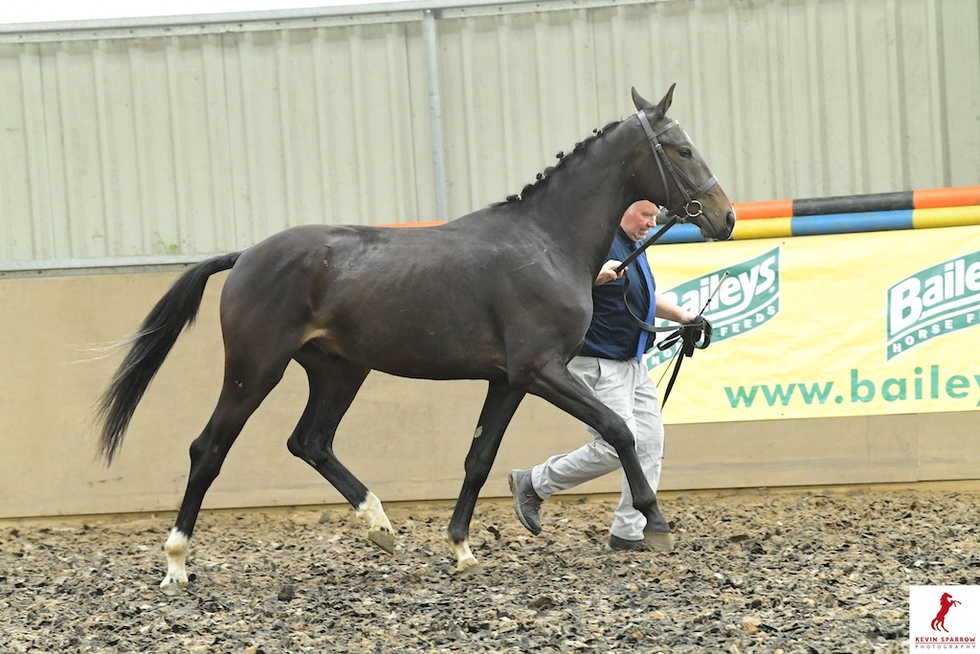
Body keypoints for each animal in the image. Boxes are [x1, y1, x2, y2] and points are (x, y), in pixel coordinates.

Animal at [96, 84, 735, 589]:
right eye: (682, 149)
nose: (724, 217)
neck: (546, 241)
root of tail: (248, 255)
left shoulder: (508, 380)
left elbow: (479, 458)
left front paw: (461, 548)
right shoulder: (541, 370)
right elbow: (619, 430)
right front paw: (657, 524)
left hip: (339, 370)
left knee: (310, 442)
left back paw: (379, 525)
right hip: (256, 369)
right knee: (209, 449)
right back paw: (176, 562)